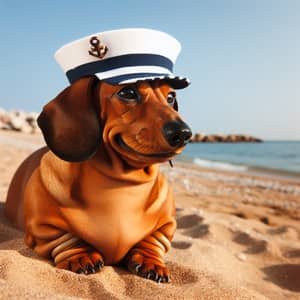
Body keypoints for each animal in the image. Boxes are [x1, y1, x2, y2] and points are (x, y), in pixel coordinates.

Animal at [4, 76, 191, 282]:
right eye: (128, 92)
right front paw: (81, 256)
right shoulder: (42, 226)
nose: (183, 133)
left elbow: (154, 240)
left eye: (171, 97)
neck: (122, 184)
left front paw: (151, 262)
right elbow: (67, 238)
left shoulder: (167, 226)